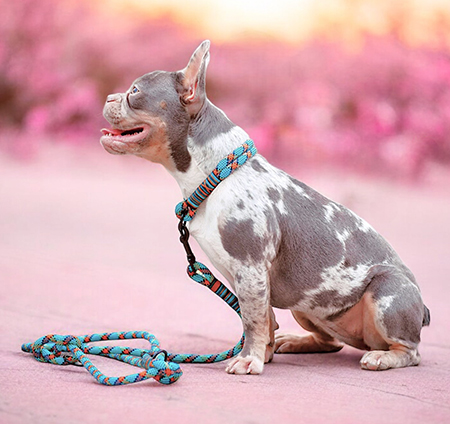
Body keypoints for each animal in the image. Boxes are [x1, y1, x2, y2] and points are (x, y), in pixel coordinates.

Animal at [100, 40, 430, 374]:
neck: (216, 174)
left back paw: (383, 357)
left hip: (386, 292)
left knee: (409, 350)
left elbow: (253, 319)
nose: (109, 96)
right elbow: (263, 317)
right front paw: (264, 354)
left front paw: (249, 359)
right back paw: (297, 341)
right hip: (305, 302)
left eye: (134, 92)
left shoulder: (250, 267)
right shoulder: (250, 277)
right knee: (330, 341)